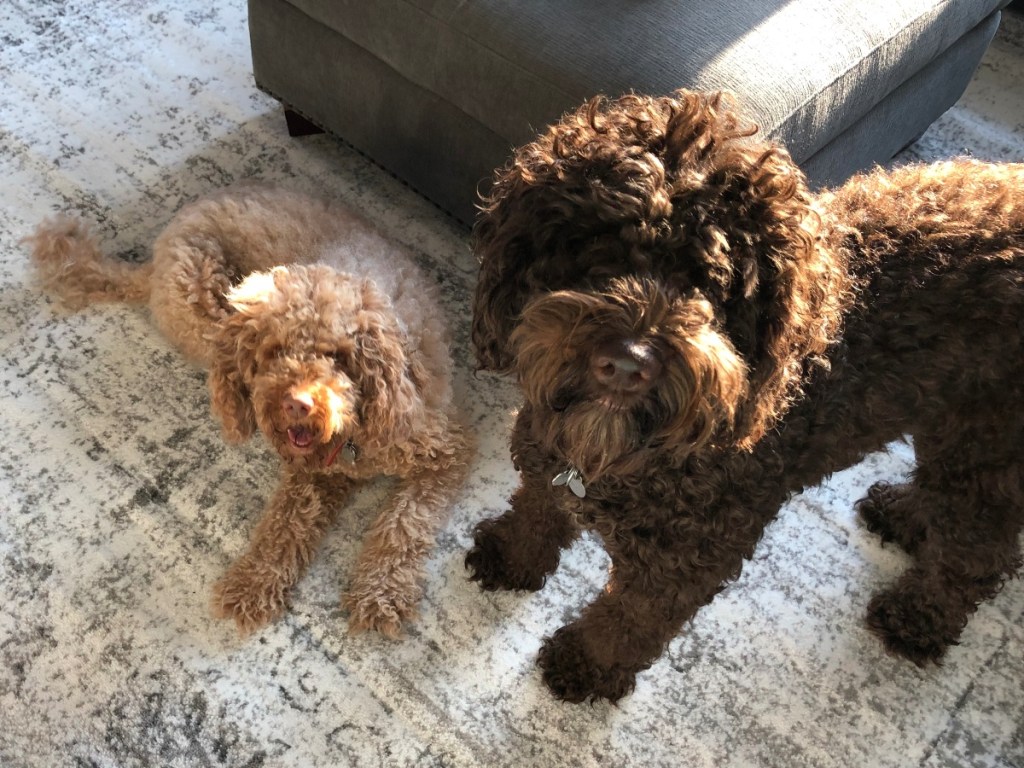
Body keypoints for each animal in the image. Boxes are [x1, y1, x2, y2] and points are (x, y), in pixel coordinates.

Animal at [29, 186, 471, 638]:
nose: (296, 403)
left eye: (338, 356)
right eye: (275, 351)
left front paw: (380, 592)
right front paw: (253, 584)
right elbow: (285, 522)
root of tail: (159, 250)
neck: (354, 439)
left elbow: (404, 524)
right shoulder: (312, 474)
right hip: (208, 305)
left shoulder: (444, 452)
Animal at [466, 88, 1024, 704]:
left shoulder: (686, 560)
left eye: (712, 286)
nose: (627, 364)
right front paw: (511, 556)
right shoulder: (546, 457)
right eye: (599, 250)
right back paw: (904, 513)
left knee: (979, 551)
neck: (614, 459)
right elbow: (535, 511)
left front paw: (589, 663)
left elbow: (630, 619)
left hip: (987, 445)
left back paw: (917, 617)